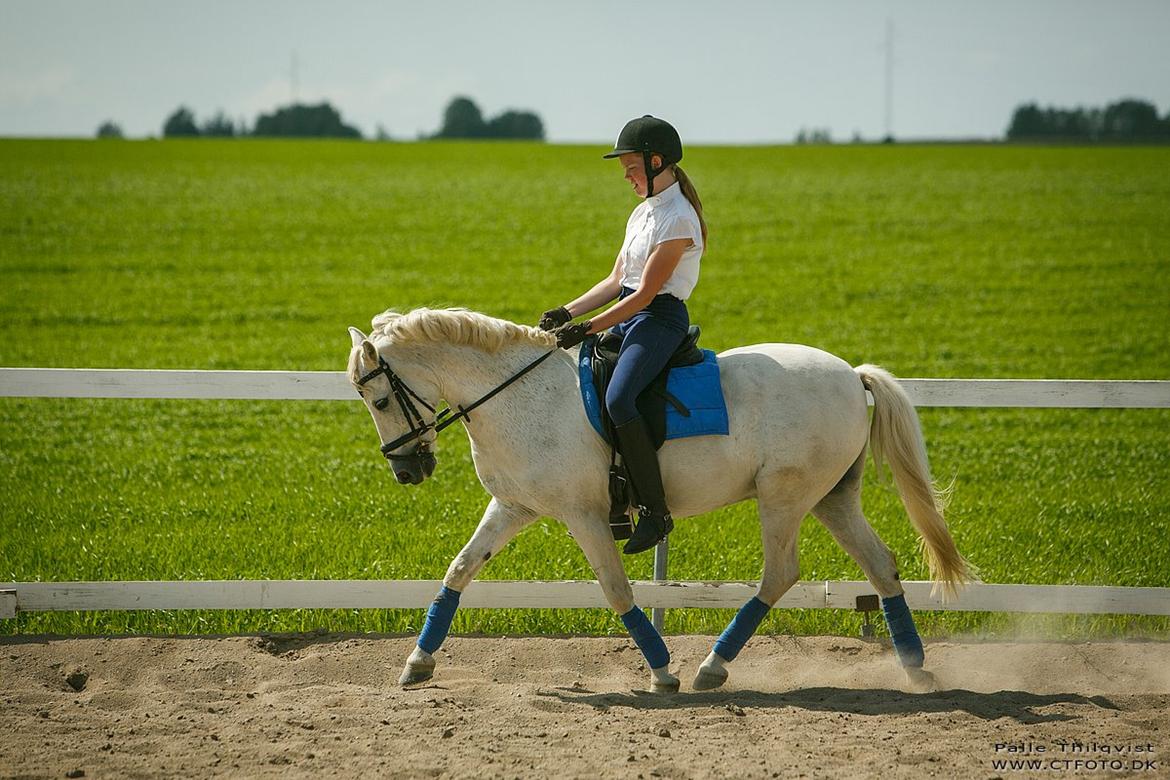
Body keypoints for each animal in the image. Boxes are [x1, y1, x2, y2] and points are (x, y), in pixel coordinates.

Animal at [348, 308, 978, 692]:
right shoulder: (514, 507)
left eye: (378, 400)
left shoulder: (583, 515)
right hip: (832, 499)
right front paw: (417, 662)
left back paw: (711, 667)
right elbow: (459, 570)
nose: (407, 470)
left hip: (784, 497)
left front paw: (661, 672)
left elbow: (616, 589)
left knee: (780, 574)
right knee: (882, 566)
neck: (521, 395)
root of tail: (851, 374)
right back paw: (916, 670)